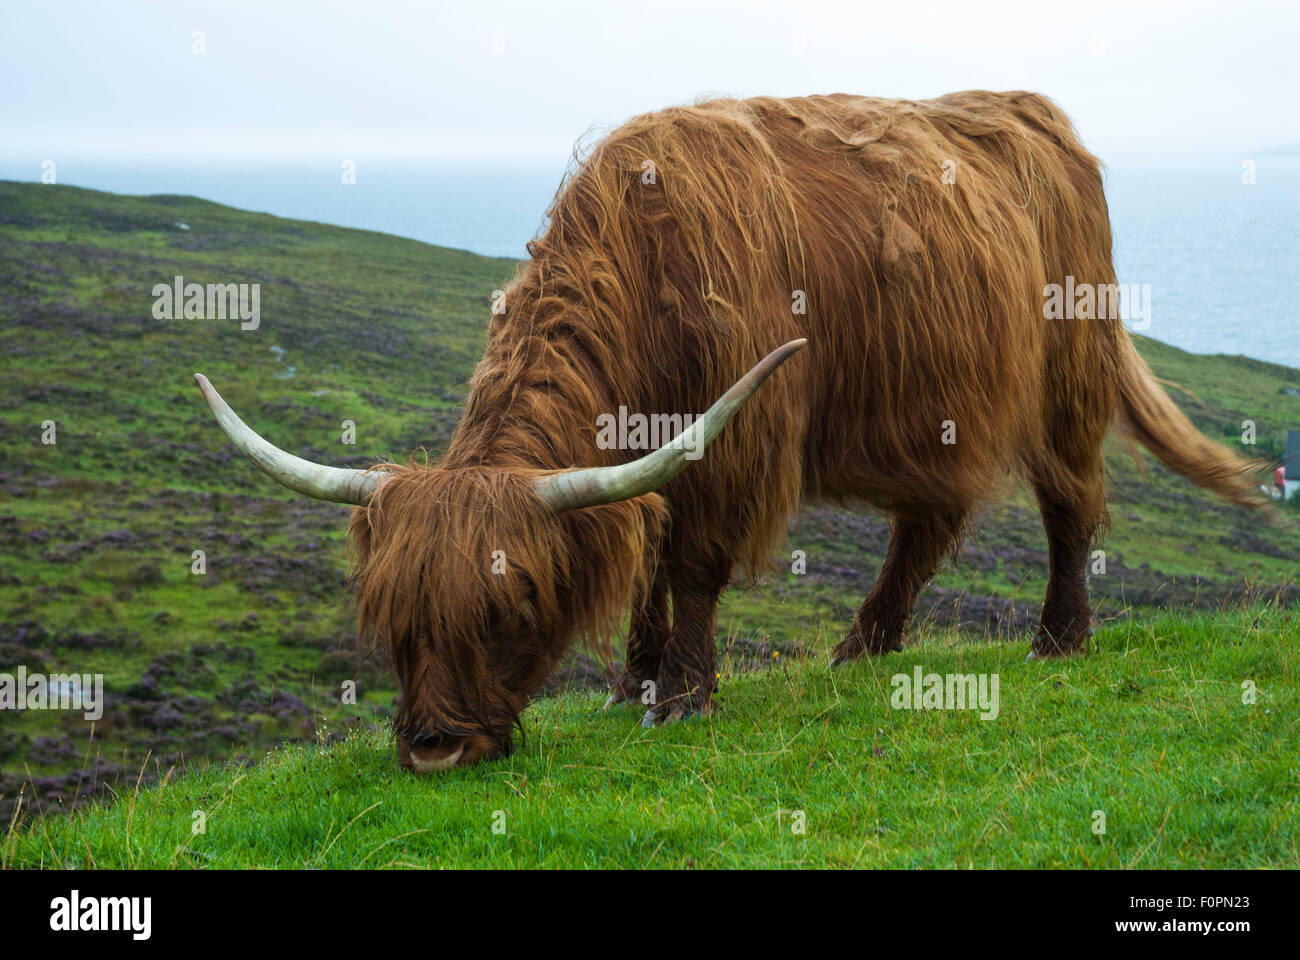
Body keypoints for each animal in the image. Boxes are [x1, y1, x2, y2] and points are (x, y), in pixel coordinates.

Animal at [195, 91, 1265, 771]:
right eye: (392, 616)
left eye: (511, 609)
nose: (433, 751)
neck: (638, 267)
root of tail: (1034, 114)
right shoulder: (644, 452)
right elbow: (646, 555)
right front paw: (632, 682)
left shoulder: (736, 439)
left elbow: (694, 564)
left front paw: (682, 697)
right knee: (927, 523)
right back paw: (862, 648)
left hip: (1066, 375)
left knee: (1070, 500)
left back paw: (1058, 640)